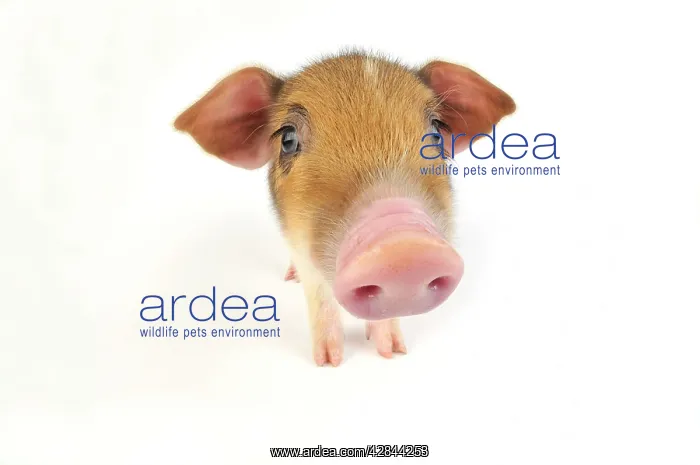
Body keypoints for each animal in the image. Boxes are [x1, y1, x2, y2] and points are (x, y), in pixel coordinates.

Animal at [173, 51, 515, 366]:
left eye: (435, 132)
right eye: (288, 139)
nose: (404, 246)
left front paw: (393, 353)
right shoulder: (301, 248)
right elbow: (321, 299)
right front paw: (329, 362)